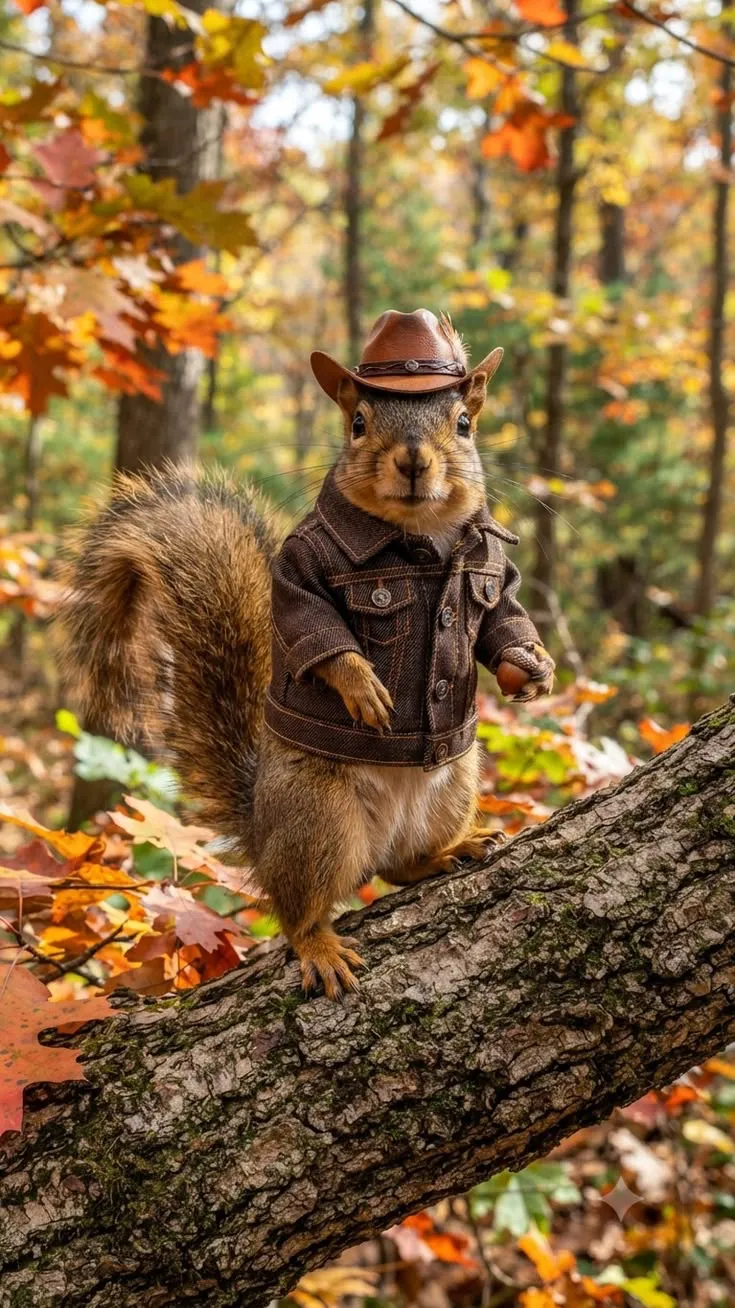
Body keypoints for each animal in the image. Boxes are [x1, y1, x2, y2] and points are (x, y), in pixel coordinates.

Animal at [59, 310, 554, 1000]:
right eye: (358, 423)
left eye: (463, 423)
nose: (412, 460)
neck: (419, 538)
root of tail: (263, 835)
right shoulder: (299, 570)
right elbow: (313, 627)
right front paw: (362, 685)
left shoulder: (489, 570)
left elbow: (500, 619)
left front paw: (532, 666)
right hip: (318, 821)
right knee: (298, 909)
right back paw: (318, 945)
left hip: (454, 789)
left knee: (400, 867)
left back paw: (445, 852)